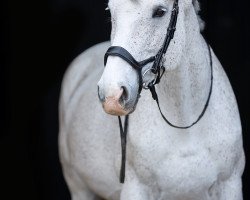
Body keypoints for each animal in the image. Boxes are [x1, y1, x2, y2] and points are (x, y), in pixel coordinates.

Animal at [58, 0, 244, 198]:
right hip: (79, 188)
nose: (112, 95)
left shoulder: (230, 185)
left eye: (160, 12)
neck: (186, 127)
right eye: (110, 11)